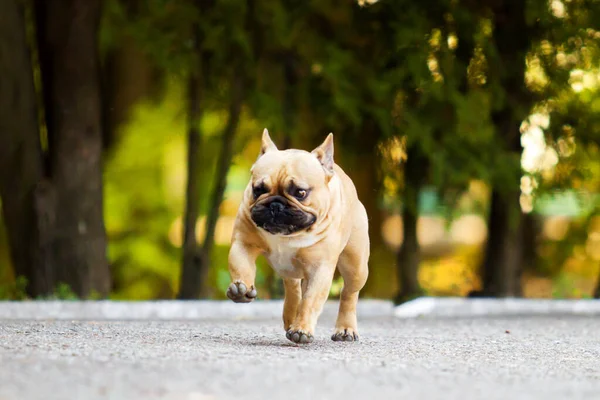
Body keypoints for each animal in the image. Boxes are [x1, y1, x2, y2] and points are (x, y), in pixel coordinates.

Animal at [227, 129, 370, 344]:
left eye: (301, 192)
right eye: (258, 189)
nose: (275, 205)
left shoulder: (320, 268)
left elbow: (310, 300)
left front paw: (302, 329)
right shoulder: (243, 244)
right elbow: (241, 266)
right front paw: (241, 289)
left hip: (356, 266)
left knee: (348, 294)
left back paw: (345, 329)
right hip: (289, 267)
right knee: (293, 288)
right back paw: (290, 315)